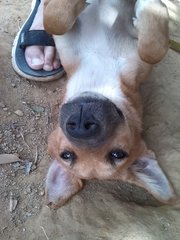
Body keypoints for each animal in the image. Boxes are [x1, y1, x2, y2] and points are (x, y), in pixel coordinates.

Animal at [43, 0, 176, 208]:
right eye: (67, 155)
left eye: (117, 154)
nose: (81, 126)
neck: (99, 79)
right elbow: (55, 20)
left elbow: (151, 51)